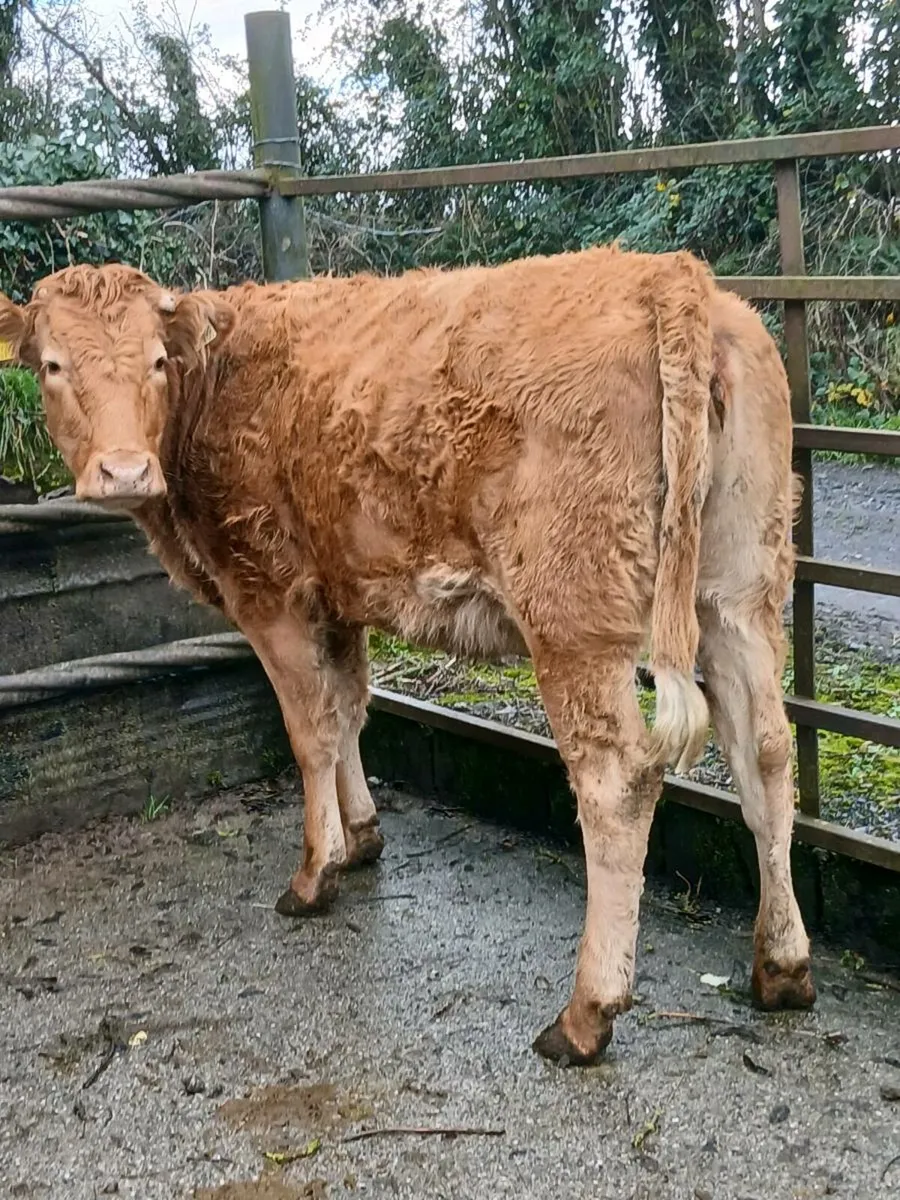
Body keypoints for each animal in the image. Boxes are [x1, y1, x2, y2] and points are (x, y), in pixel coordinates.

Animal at [0, 244, 816, 1064]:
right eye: (52, 364)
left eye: (157, 360)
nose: (124, 470)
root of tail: (665, 276)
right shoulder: (337, 593)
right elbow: (349, 709)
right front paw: (361, 834)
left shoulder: (268, 593)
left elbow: (310, 732)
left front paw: (315, 872)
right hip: (739, 589)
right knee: (766, 754)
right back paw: (782, 966)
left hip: (573, 611)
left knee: (616, 781)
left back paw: (587, 1012)